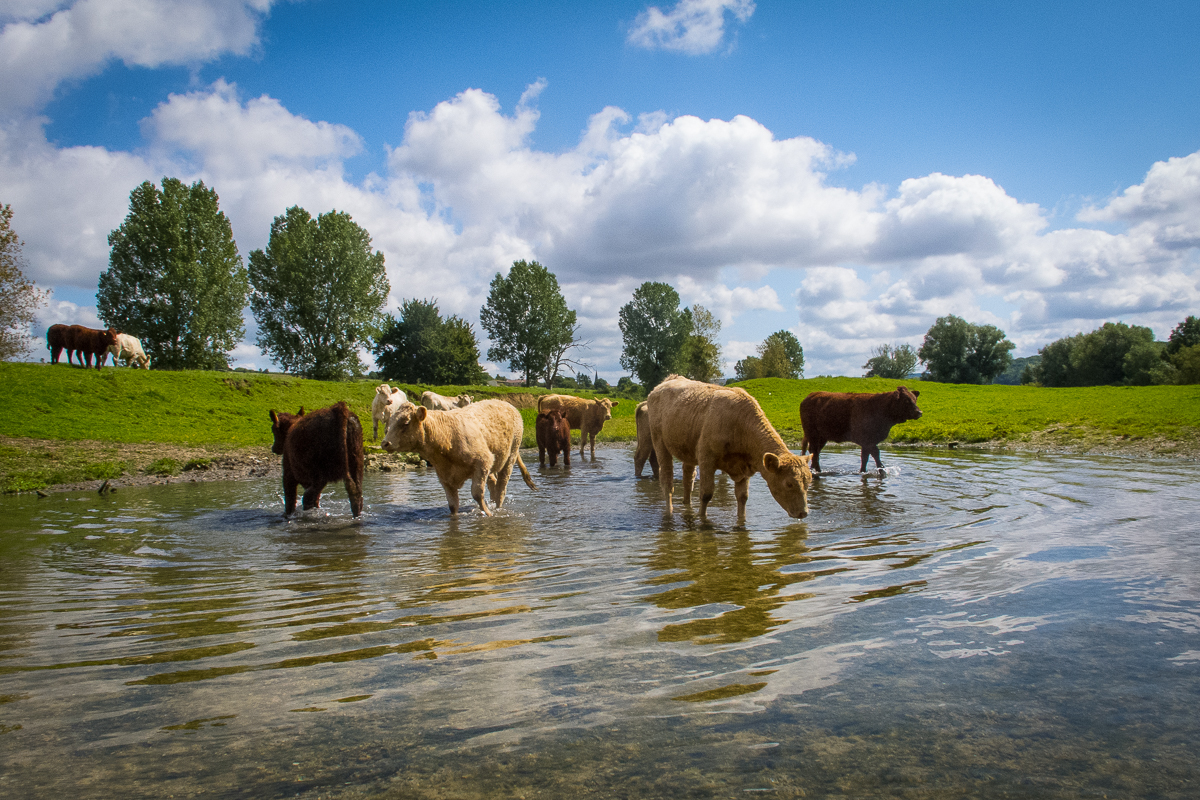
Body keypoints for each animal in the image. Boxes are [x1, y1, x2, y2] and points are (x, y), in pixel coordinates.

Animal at [381, 400, 537, 520]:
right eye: (390, 422)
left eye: (406, 423)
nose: (385, 443)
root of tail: (506, 404)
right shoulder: (444, 475)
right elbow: (452, 504)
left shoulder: (483, 462)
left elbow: (477, 493)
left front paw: (488, 514)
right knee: (493, 483)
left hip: (510, 456)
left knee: (501, 488)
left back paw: (497, 507)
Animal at [648, 374, 816, 520]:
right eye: (789, 483)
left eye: (809, 482)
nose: (803, 513)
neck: (739, 425)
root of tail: (667, 381)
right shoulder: (706, 458)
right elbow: (706, 494)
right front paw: (702, 519)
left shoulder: (744, 468)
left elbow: (742, 497)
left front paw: (741, 521)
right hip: (659, 442)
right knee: (667, 480)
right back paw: (669, 512)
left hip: (687, 448)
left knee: (688, 480)